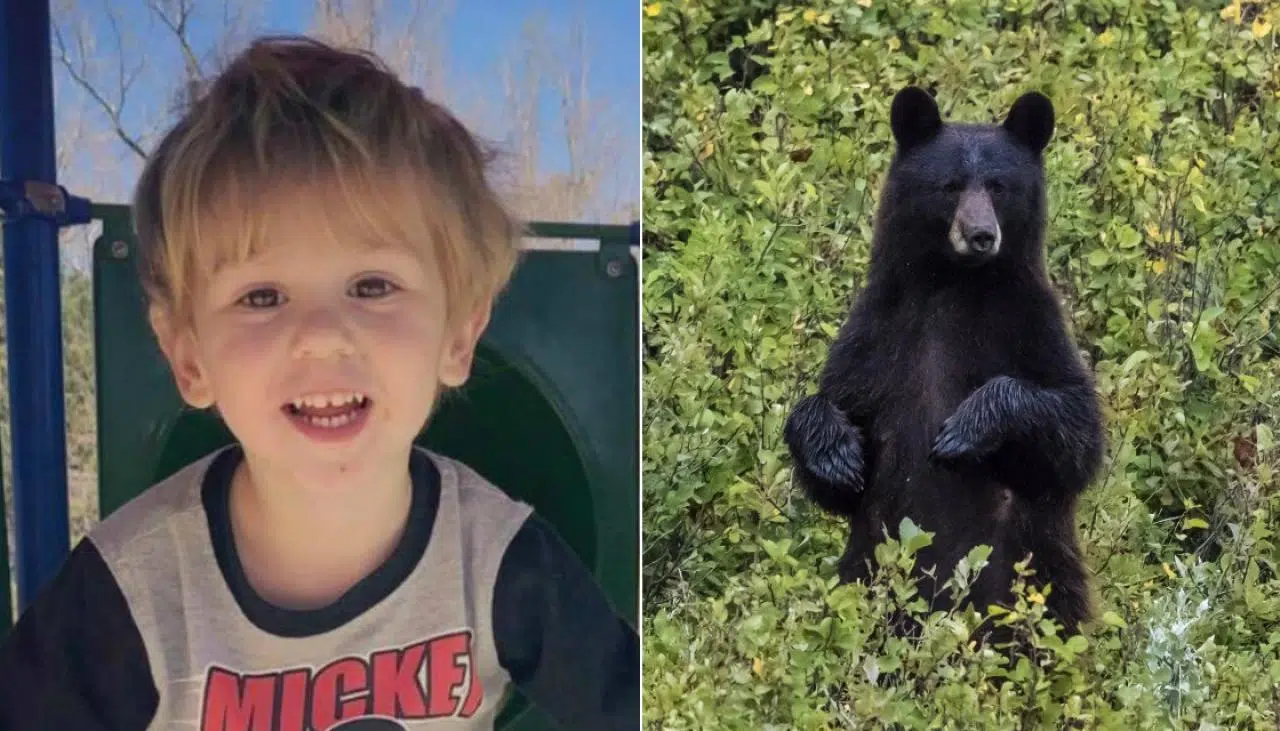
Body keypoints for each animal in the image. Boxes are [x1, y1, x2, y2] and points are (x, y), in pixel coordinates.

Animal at [783, 86, 1106, 639]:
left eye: (998, 185)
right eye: (950, 185)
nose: (981, 235)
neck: (955, 285)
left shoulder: (1030, 325)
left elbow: (1075, 432)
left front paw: (965, 429)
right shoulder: (880, 333)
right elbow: (837, 417)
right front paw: (837, 453)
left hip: (1032, 581)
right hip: (865, 572)